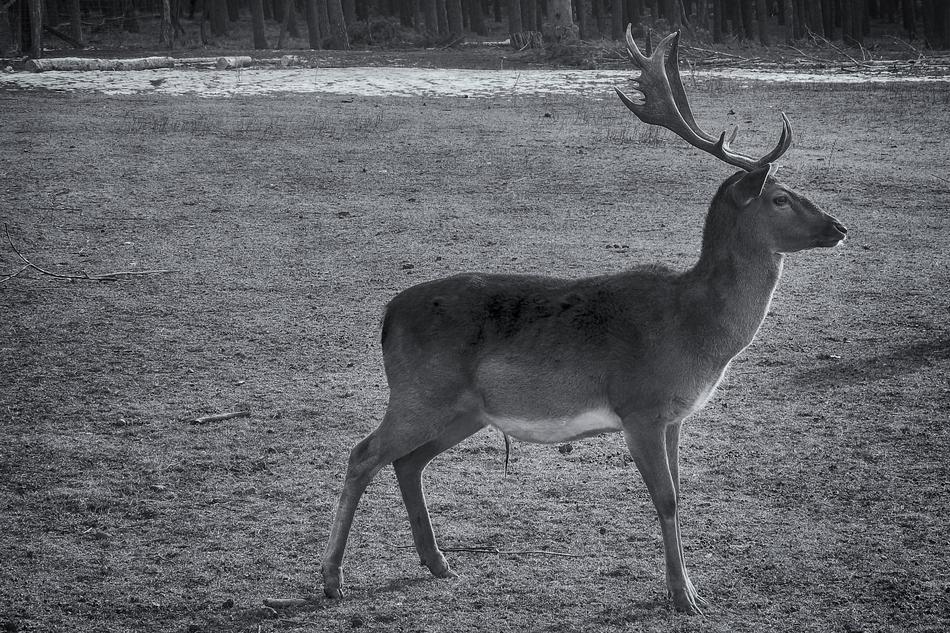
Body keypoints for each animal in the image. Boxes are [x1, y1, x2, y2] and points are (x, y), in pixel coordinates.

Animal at [318, 27, 847, 615]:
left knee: (408, 463)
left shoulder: (675, 416)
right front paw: (683, 595)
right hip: (420, 393)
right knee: (362, 454)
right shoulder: (640, 406)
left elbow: (681, 493)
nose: (839, 227)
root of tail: (387, 316)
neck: (696, 330)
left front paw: (686, 588)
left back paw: (437, 562)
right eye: (779, 198)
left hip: (465, 410)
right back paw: (332, 578)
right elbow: (666, 498)